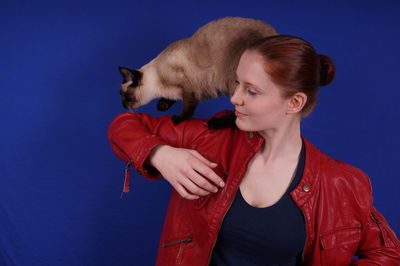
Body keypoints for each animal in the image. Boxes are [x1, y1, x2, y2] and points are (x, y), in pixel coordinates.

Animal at [119, 16, 276, 128]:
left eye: (125, 96)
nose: (123, 105)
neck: (159, 83)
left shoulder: (189, 88)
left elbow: (188, 108)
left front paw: (177, 119)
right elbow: (171, 99)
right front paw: (162, 105)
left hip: (236, 82)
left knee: (239, 115)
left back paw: (215, 124)